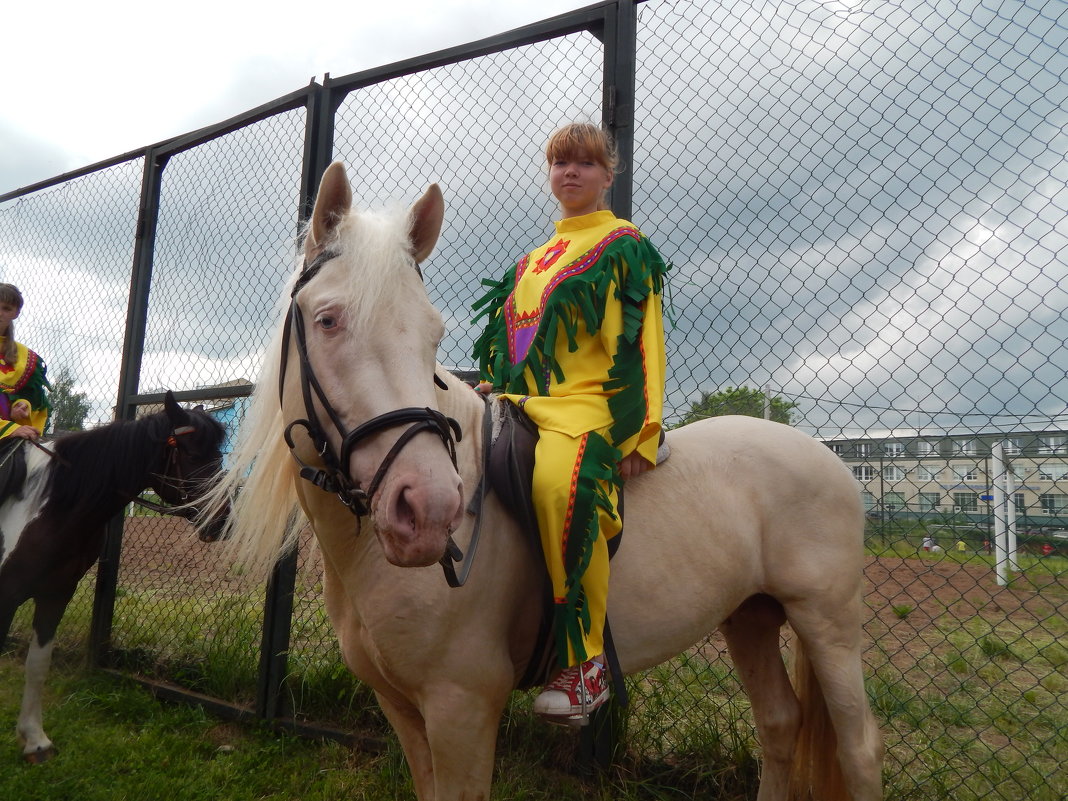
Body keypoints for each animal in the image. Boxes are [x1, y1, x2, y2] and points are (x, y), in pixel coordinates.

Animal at [1, 395, 227, 764]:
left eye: (219, 455)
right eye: (194, 455)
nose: (222, 520)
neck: (51, 506)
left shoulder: (55, 594)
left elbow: (38, 664)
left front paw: (35, 740)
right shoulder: (6, 596)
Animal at [210, 163, 884, 801]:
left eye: (433, 335)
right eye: (327, 320)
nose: (430, 510)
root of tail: (825, 455)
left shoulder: (462, 705)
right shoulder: (399, 705)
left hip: (827, 621)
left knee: (859, 750)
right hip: (749, 617)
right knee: (779, 723)